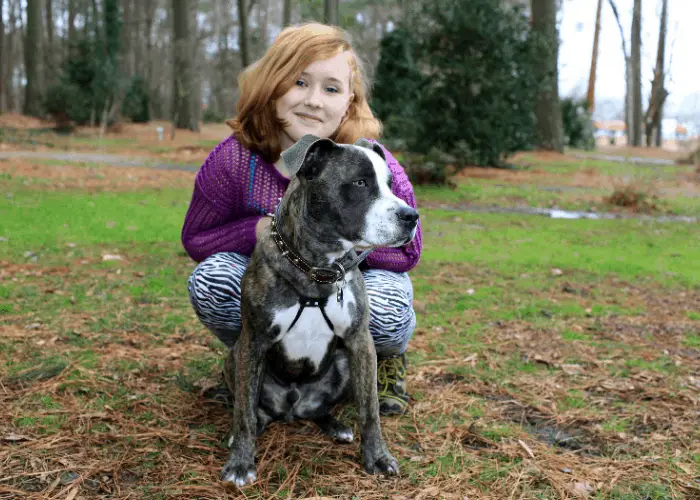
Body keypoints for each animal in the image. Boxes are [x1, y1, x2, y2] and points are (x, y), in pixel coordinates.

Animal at [223, 135, 422, 486]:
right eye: (360, 183)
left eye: (390, 184)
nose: (411, 215)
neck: (318, 267)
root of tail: (292, 408)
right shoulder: (253, 342)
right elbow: (243, 412)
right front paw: (240, 463)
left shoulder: (360, 343)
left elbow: (369, 410)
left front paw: (378, 457)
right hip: (235, 356)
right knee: (254, 411)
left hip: (342, 363)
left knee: (321, 410)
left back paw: (337, 426)